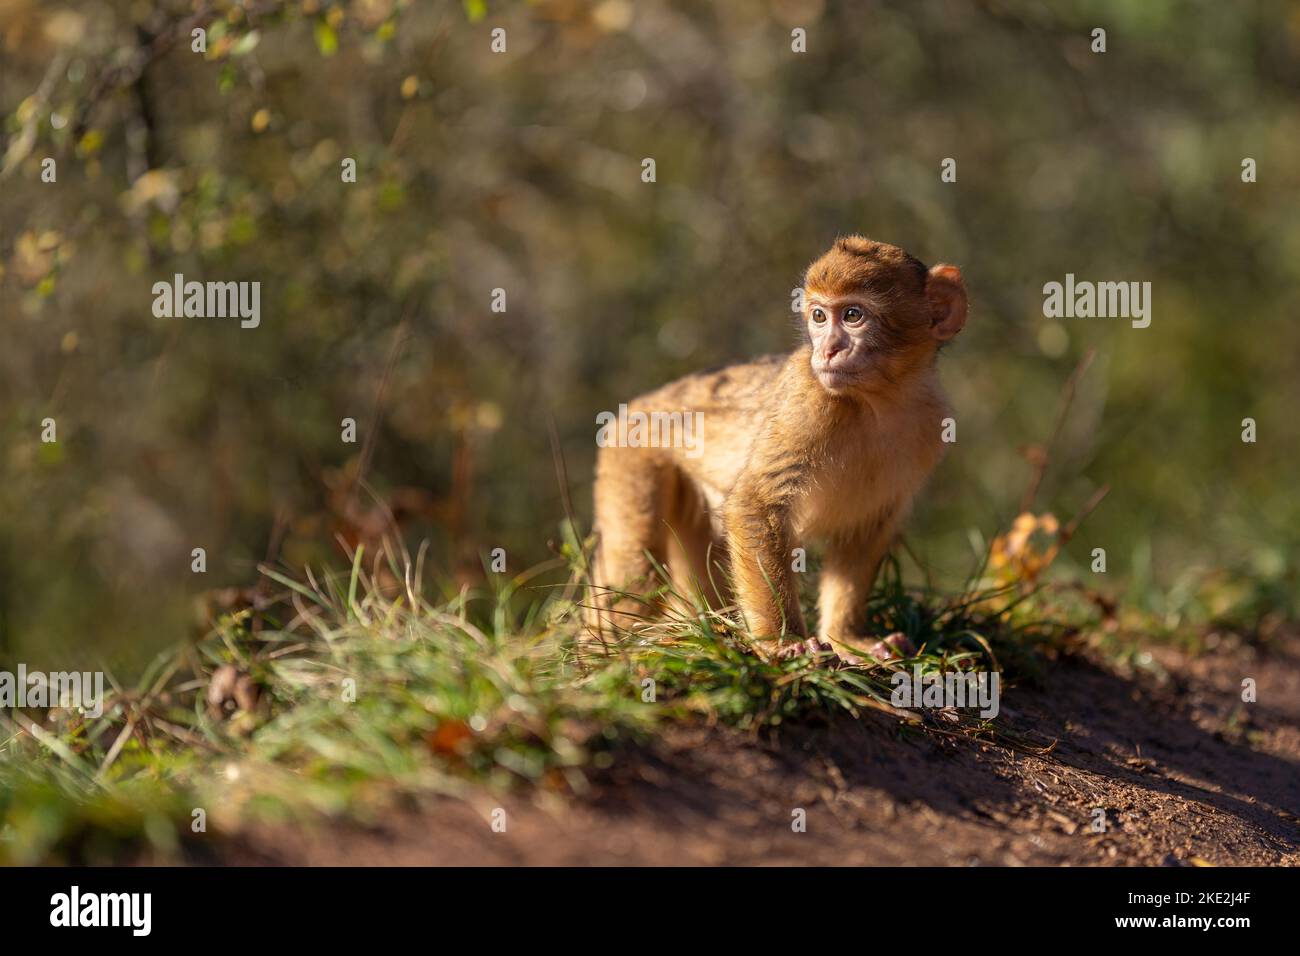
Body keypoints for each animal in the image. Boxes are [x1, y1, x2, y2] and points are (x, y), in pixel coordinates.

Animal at [590, 235, 967, 660]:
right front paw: (783, 641)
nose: (828, 350)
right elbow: (755, 504)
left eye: (853, 315)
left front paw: (847, 637)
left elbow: (867, 525)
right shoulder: (807, 401)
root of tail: (638, 407)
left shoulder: (930, 425)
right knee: (633, 558)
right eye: (819, 317)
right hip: (631, 456)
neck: (877, 402)